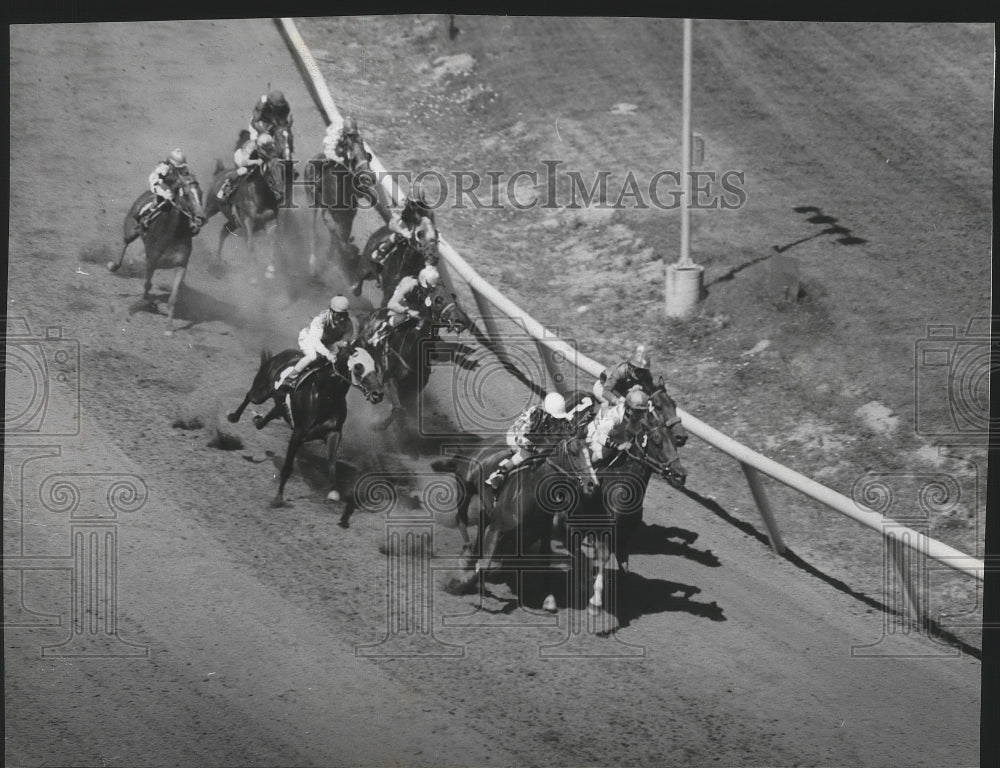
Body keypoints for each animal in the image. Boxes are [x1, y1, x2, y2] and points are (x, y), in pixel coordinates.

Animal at [109, 182, 205, 338]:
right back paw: (114, 265)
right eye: (186, 194)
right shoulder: (151, 262)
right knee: (125, 243)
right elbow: (147, 285)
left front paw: (169, 328)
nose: (201, 217)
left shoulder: (181, 266)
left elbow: (173, 298)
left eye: (201, 194)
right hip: (130, 230)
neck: (172, 235)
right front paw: (145, 303)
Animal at [226, 340, 382, 508]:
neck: (326, 395)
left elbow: (332, 464)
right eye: (359, 366)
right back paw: (234, 417)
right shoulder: (298, 432)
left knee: (273, 411)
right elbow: (287, 467)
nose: (378, 394)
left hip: (280, 404)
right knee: (250, 396)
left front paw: (333, 493)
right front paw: (278, 498)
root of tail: (281, 355)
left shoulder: (333, 433)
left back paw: (259, 421)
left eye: (376, 367)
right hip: (261, 392)